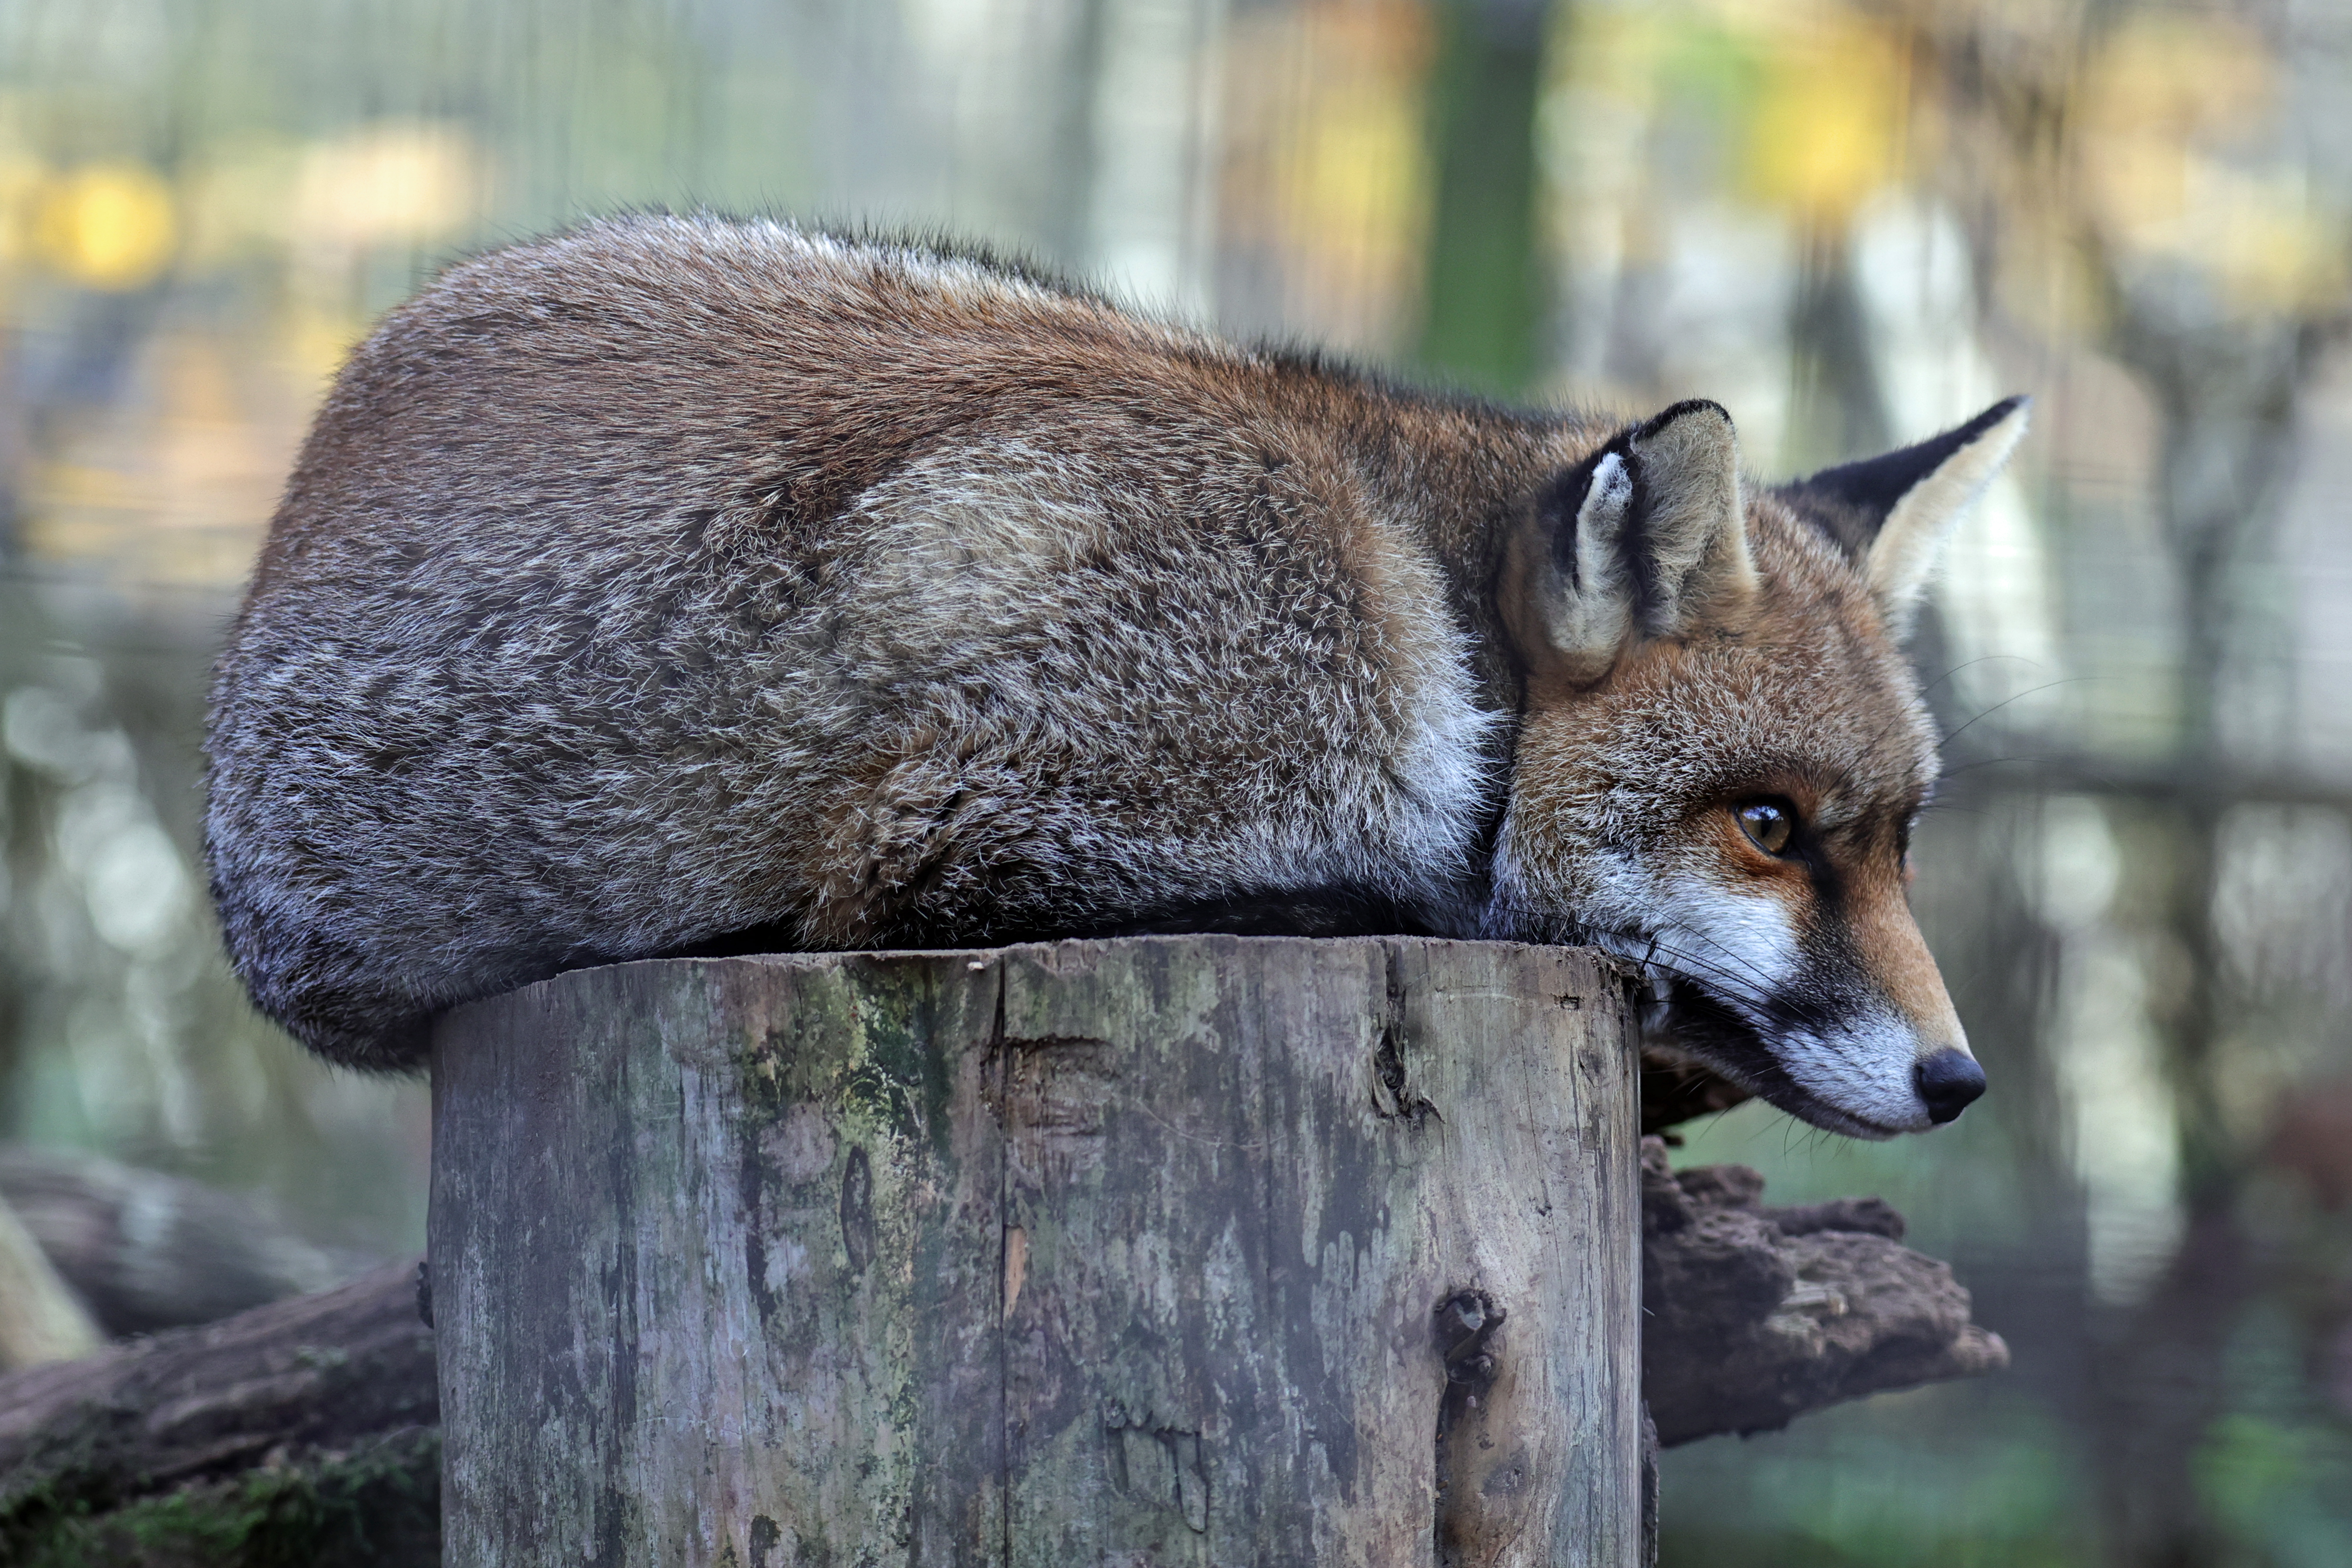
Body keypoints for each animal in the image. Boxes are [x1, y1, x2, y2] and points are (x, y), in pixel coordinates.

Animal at [204, 213, 2025, 1139]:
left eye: (1901, 842)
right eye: (1767, 828)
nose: (1959, 1082)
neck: (1417, 609)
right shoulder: (947, 834)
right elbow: (1396, 903)